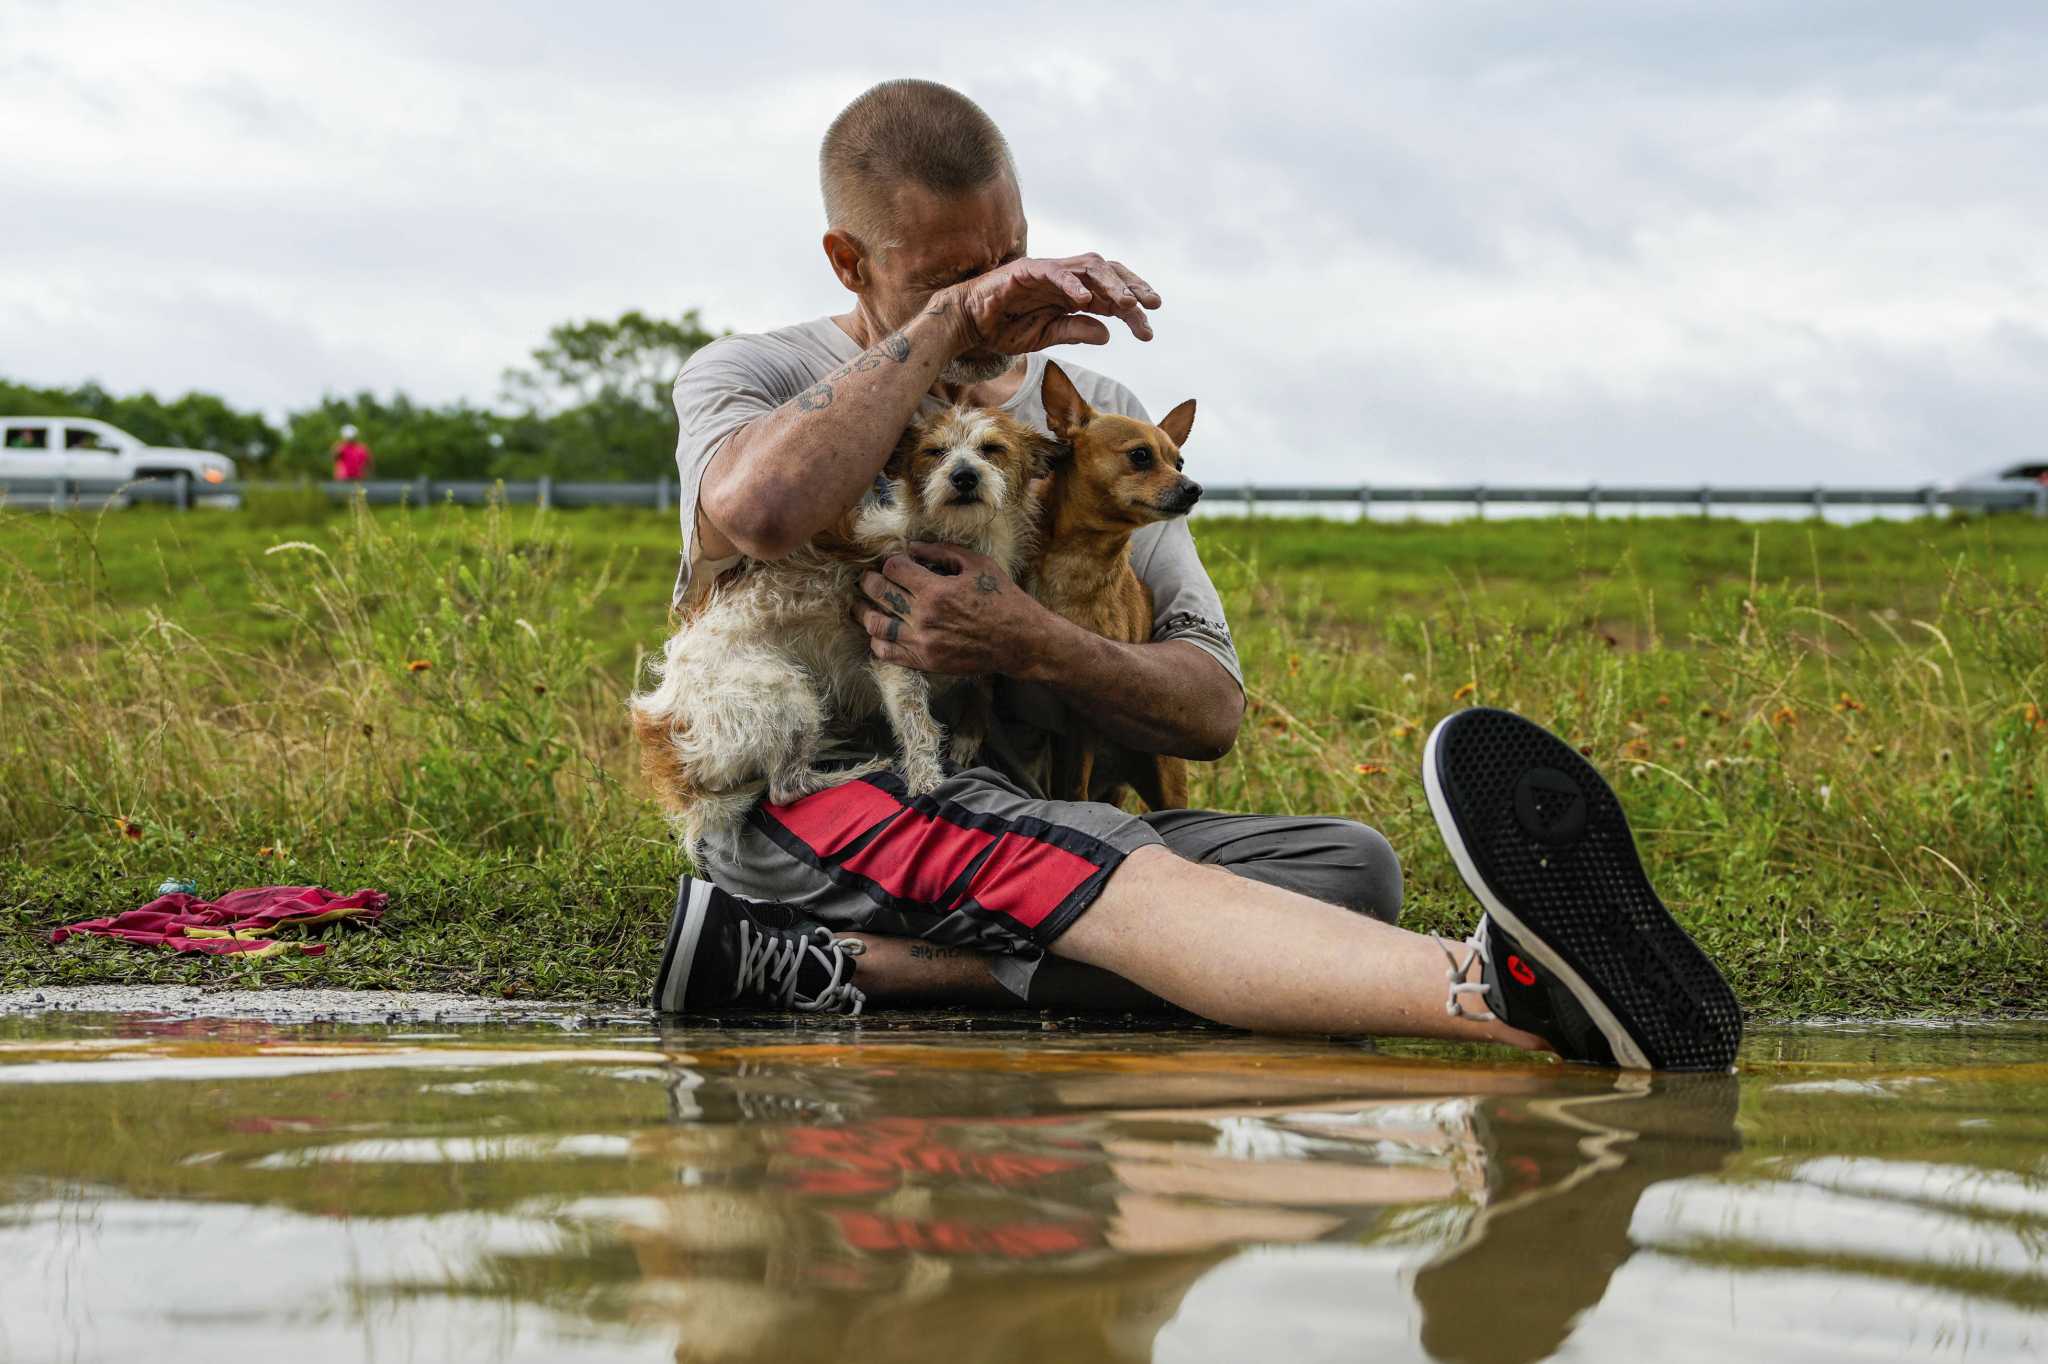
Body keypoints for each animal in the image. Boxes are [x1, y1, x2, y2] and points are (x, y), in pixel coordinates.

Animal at [630, 403, 1048, 839]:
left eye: (992, 449)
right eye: (935, 452)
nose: (964, 476)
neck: (955, 537)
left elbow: (979, 685)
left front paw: (968, 735)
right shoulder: (894, 653)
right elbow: (918, 726)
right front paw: (927, 780)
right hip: (787, 694)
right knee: (785, 787)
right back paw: (858, 769)